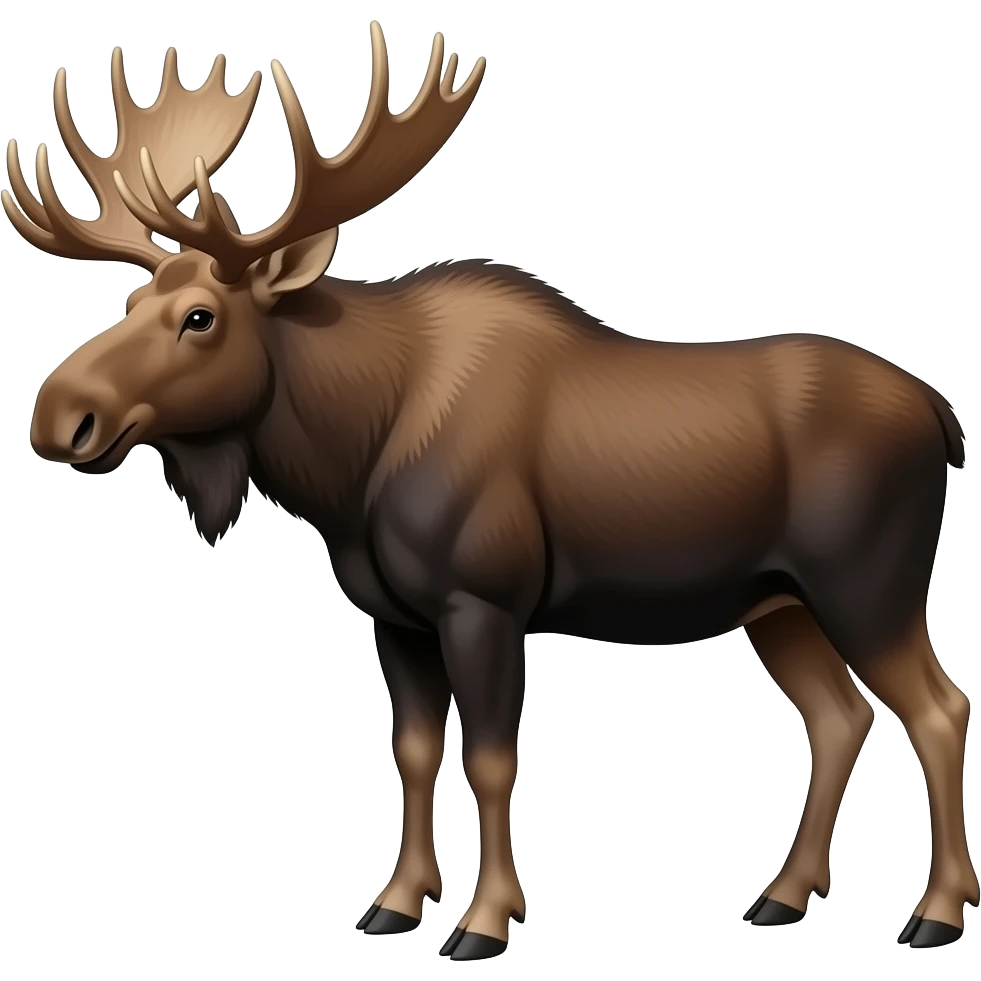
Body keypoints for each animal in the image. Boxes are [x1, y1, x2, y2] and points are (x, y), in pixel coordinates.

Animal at [7, 25, 977, 959]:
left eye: (199, 318)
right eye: (130, 301)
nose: (60, 415)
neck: (347, 464)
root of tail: (941, 414)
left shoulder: (483, 600)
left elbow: (490, 760)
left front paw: (482, 920)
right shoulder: (393, 615)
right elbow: (411, 750)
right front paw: (395, 903)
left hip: (866, 584)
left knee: (937, 708)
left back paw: (934, 913)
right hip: (778, 603)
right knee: (837, 715)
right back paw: (781, 895)